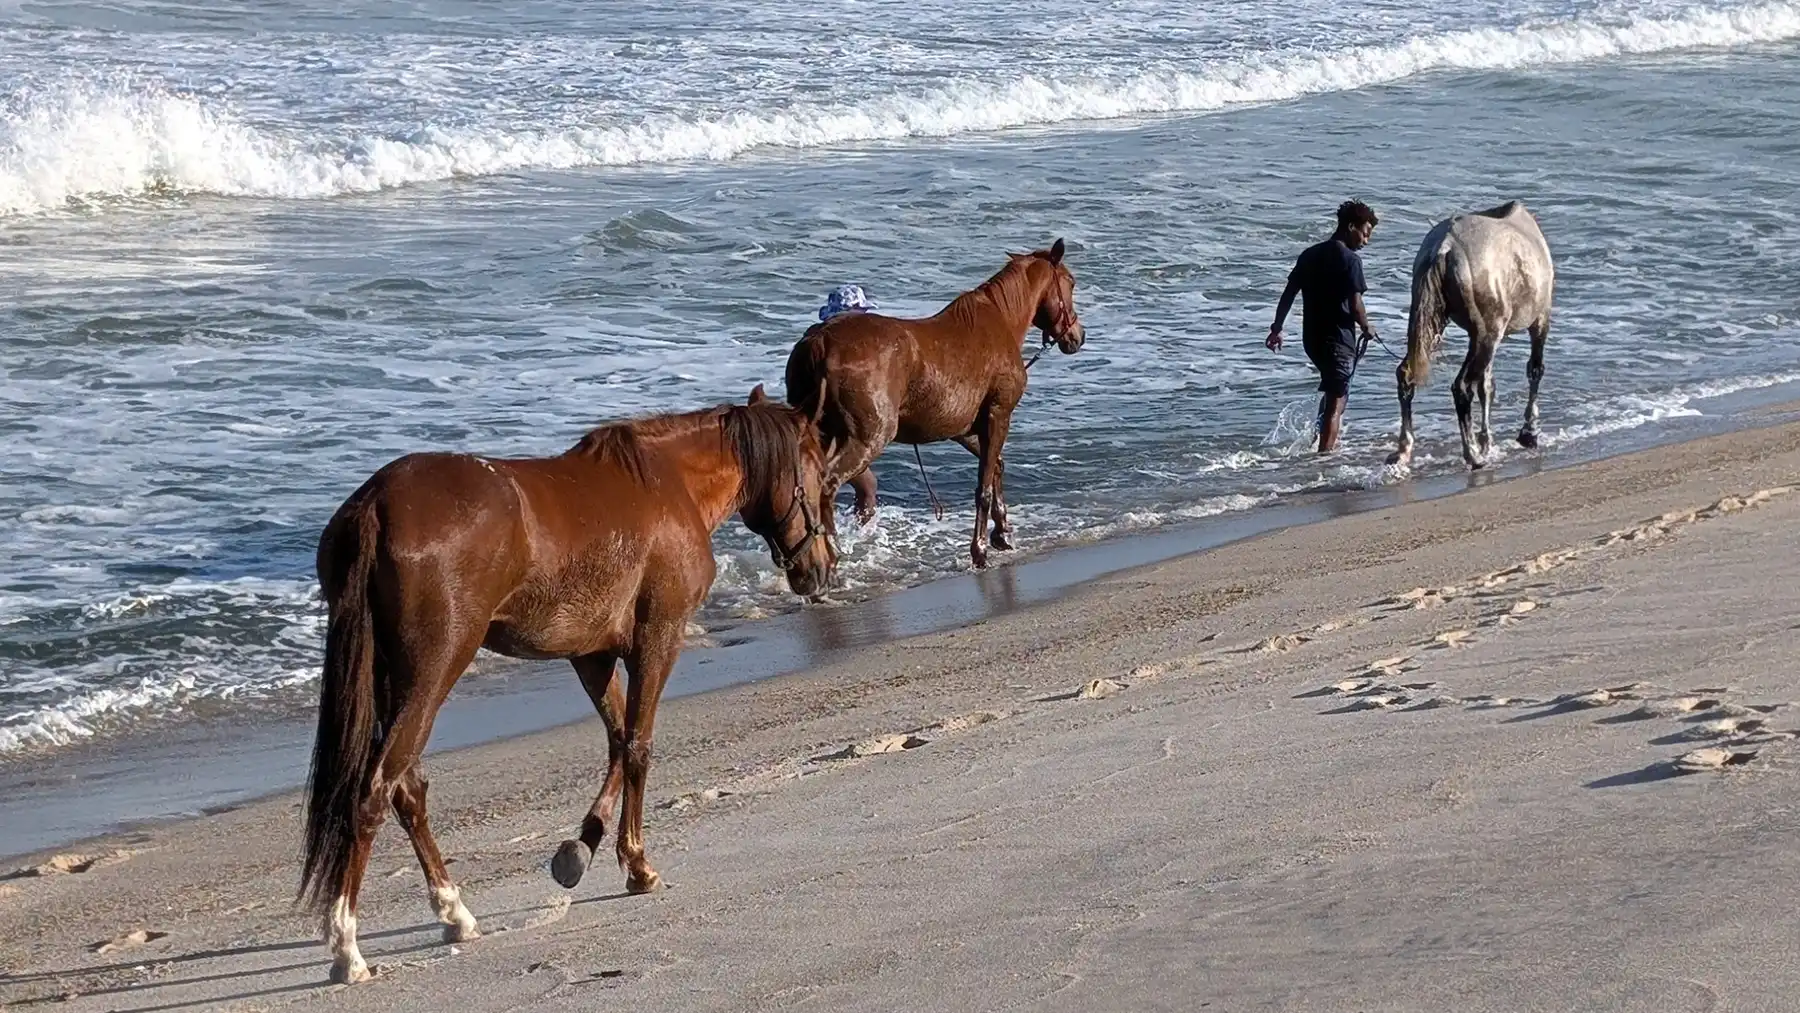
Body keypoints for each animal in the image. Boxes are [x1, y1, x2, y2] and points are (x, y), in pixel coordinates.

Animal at [299, 387, 834, 985]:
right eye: (820, 473)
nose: (821, 568)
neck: (670, 484)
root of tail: (377, 503)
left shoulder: (590, 655)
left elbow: (618, 743)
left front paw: (581, 849)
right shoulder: (659, 638)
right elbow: (639, 747)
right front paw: (637, 864)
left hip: (395, 677)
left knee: (407, 790)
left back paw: (454, 912)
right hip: (432, 671)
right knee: (374, 790)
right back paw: (348, 946)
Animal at [783, 239, 1086, 568]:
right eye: (1071, 282)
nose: (1077, 336)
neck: (1000, 322)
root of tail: (819, 342)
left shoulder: (965, 429)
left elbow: (996, 469)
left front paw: (1002, 533)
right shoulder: (998, 415)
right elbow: (983, 487)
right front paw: (980, 549)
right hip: (868, 438)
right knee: (827, 486)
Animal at [1388, 201, 1554, 469]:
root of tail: (1446, 247)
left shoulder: (1477, 336)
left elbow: (1486, 386)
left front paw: (1488, 441)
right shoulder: (1539, 321)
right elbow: (1535, 370)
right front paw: (1529, 432)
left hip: (1437, 326)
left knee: (1406, 374)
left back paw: (1405, 448)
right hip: (1489, 334)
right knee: (1462, 386)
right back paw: (1472, 454)